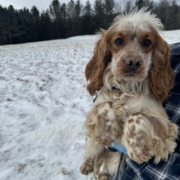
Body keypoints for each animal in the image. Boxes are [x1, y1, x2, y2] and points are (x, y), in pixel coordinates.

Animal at [80, 9, 179, 179]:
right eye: (118, 41)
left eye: (147, 42)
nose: (133, 62)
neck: (126, 87)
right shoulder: (94, 108)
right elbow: (107, 105)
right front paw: (105, 133)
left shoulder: (164, 124)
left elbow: (136, 116)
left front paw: (138, 149)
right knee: (94, 150)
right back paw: (87, 165)